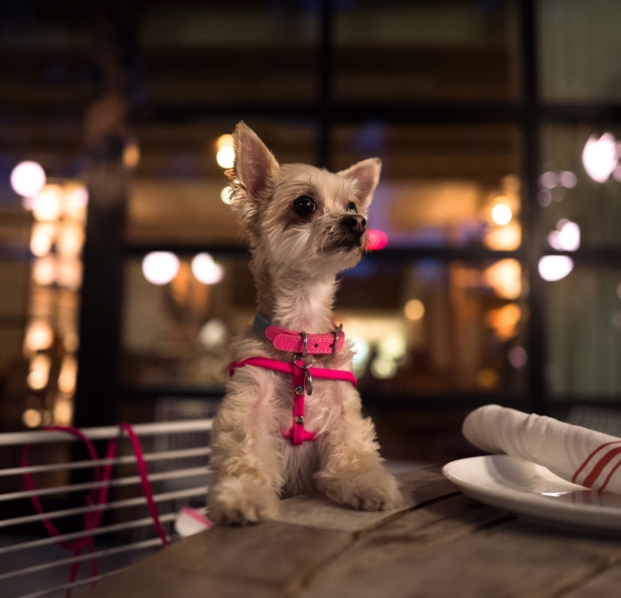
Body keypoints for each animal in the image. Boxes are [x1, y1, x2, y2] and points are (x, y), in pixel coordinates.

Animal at [207, 122, 402, 524]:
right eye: (304, 205)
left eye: (352, 206)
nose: (358, 222)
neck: (301, 338)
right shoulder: (248, 404)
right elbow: (245, 453)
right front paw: (242, 495)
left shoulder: (344, 411)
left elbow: (353, 452)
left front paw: (366, 483)